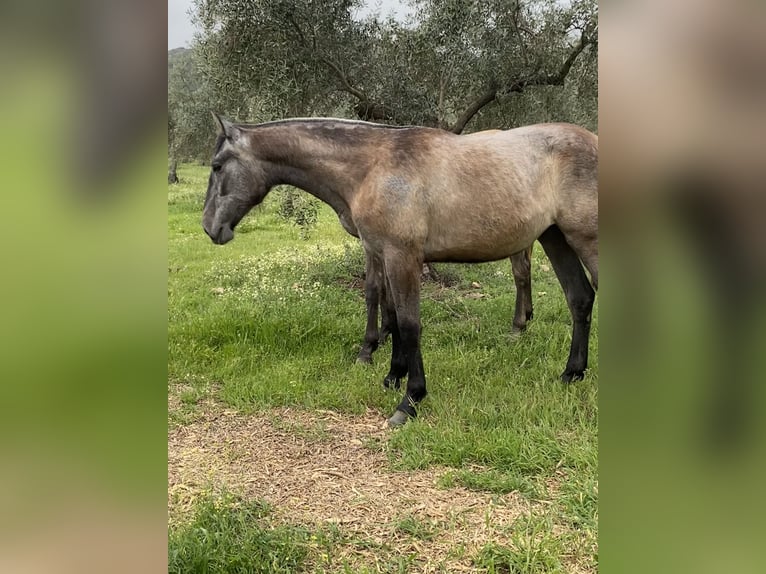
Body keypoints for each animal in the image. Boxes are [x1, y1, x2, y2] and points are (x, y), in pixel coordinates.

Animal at [202, 115, 598, 427]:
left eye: (217, 165)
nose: (209, 227)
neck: (373, 166)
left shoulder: (402, 257)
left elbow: (408, 324)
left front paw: (409, 401)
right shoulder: (382, 253)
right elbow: (389, 311)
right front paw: (392, 374)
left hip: (585, 240)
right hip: (555, 237)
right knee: (579, 299)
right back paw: (571, 373)